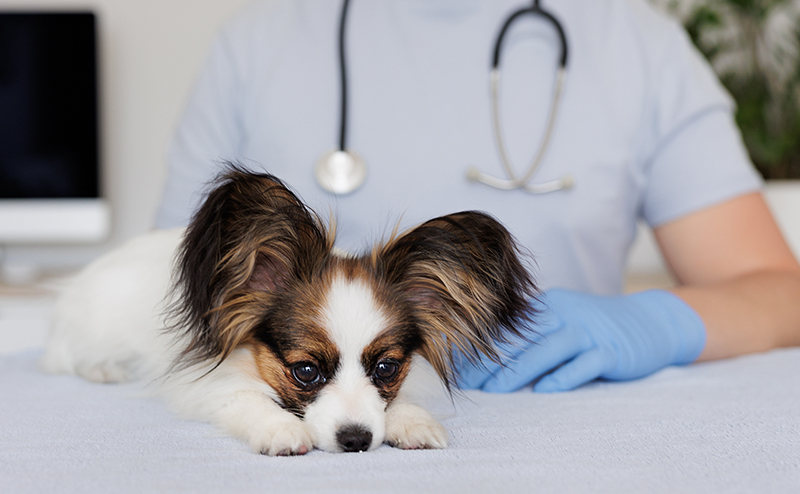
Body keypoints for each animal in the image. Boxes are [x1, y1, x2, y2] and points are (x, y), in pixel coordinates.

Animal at [39, 169, 536, 456]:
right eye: (305, 371)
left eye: (387, 368)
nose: (356, 442)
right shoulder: (204, 383)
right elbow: (246, 399)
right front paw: (279, 429)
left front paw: (411, 420)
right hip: (95, 327)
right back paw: (104, 368)